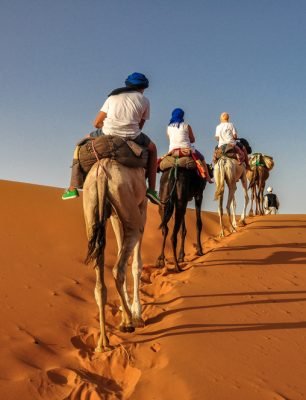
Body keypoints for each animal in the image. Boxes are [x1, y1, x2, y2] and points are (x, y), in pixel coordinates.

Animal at [82, 158, 147, 352]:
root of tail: (102, 175)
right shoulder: (142, 206)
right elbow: (136, 264)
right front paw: (137, 312)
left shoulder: (116, 217)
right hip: (129, 208)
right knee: (118, 268)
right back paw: (130, 321)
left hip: (91, 209)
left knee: (100, 283)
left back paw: (102, 343)